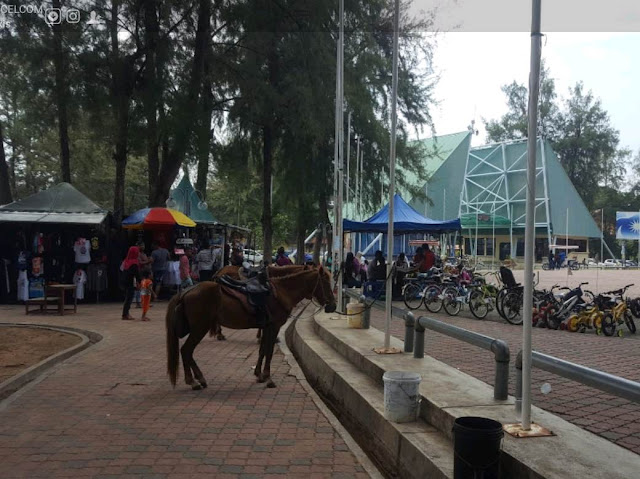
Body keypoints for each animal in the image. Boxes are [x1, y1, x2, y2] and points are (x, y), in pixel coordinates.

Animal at [165, 266, 336, 390]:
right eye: (326, 283)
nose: (333, 306)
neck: (282, 292)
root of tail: (186, 291)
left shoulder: (266, 327)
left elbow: (262, 350)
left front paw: (259, 374)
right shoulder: (274, 327)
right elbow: (269, 351)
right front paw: (268, 378)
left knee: (188, 352)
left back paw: (199, 378)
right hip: (200, 328)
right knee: (186, 351)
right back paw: (193, 381)